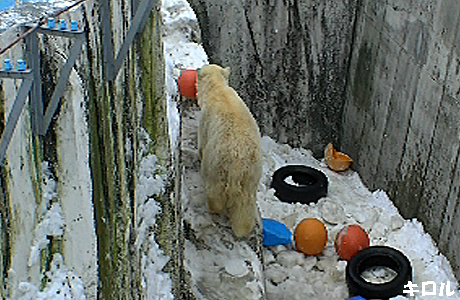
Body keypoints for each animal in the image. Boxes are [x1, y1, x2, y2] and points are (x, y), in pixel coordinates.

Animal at [198, 64, 262, 238]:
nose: (197, 69)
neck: (217, 88)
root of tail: (237, 165)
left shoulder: (205, 119)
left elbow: (202, 142)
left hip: (217, 165)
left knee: (214, 191)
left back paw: (214, 208)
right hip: (250, 175)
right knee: (245, 204)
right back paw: (242, 229)